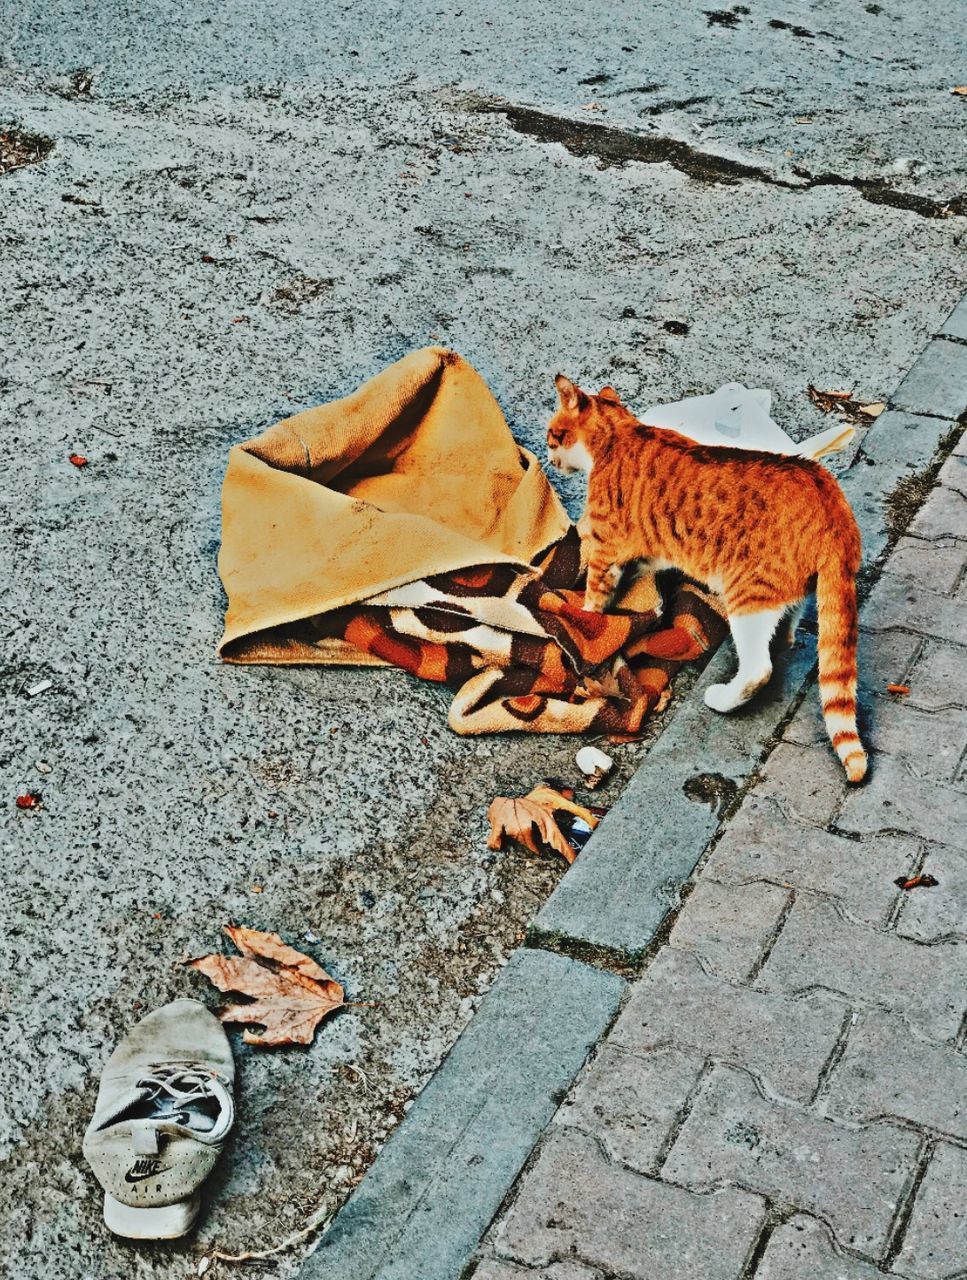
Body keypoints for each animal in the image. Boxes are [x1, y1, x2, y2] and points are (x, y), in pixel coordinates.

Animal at [548, 373, 876, 783]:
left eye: (552, 434)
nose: (548, 457)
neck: (620, 433)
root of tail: (831, 499)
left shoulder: (606, 552)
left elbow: (595, 596)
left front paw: (585, 615)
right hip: (789, 590)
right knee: (790, 622)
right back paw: (785, 637)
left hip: (748, 597)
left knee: (758, 670)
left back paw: (723, 698)